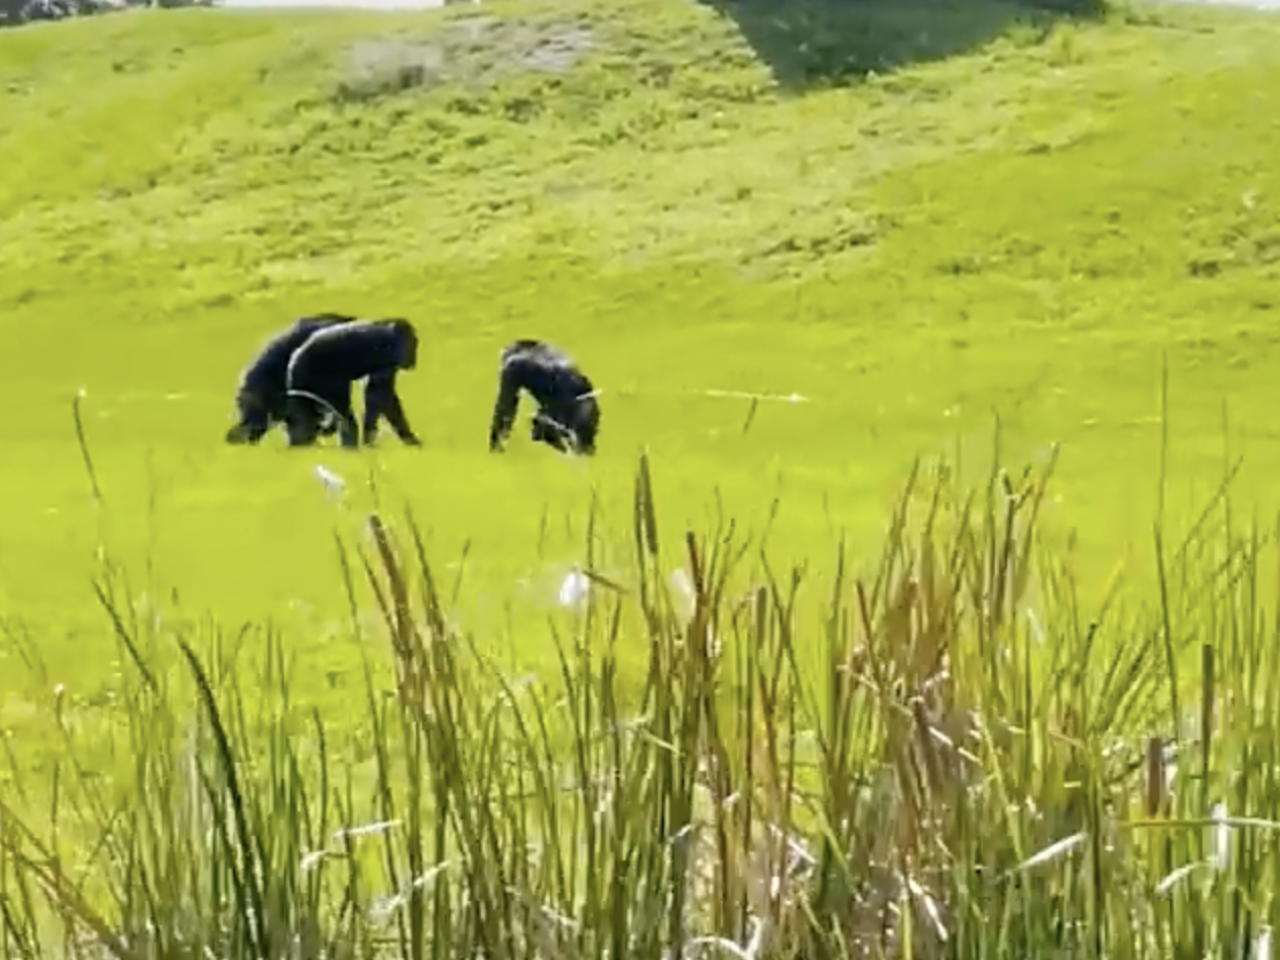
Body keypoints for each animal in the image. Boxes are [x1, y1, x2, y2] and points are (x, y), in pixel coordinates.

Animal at [282, 317, 422, 450]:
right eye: (413, 345)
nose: (413, 359)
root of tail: (295, 357)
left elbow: (377, 393)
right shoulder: (385, 353)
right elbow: (378, 395)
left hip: (299, 384)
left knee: (304, 419)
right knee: (341, 417)